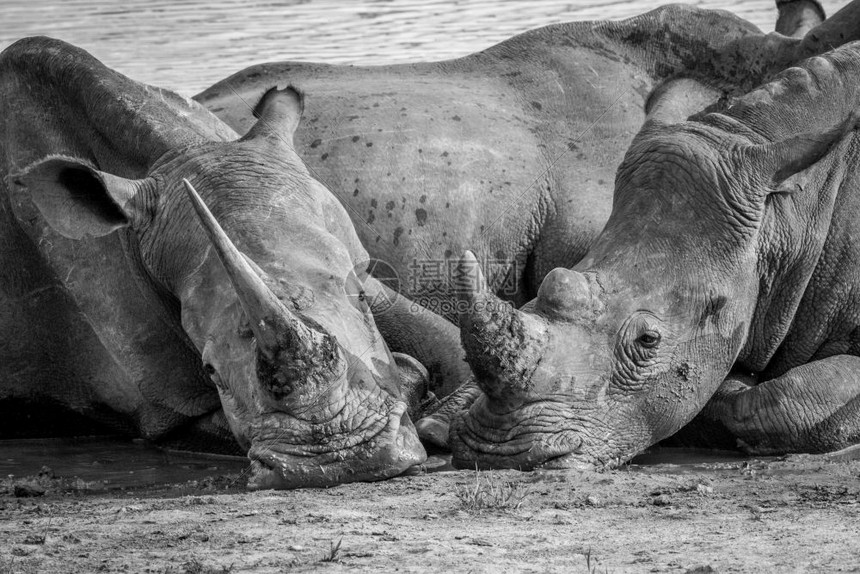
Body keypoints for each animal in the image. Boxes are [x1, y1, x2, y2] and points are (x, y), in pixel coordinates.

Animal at [0, 38, 470, 490]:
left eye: (360, 299)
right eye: (209, 369)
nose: (341, 460)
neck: (183, 152)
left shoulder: (357, 261)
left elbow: (447, 339)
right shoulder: (158, 405)